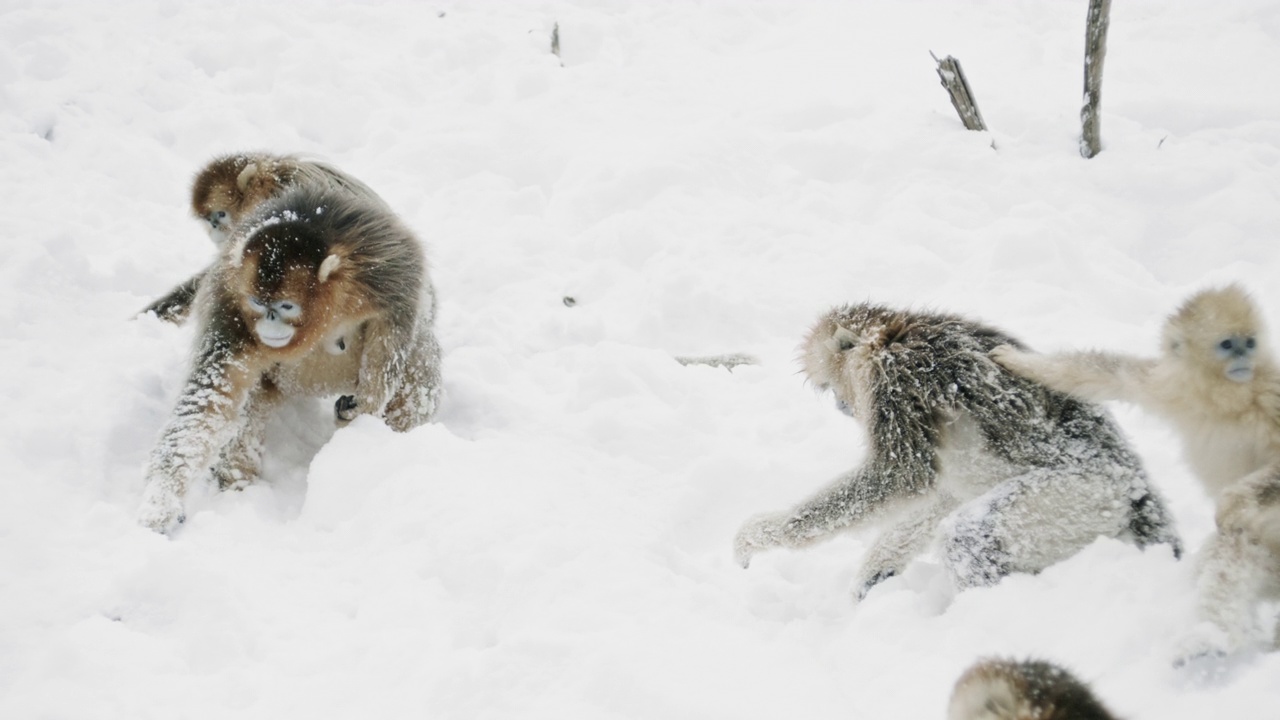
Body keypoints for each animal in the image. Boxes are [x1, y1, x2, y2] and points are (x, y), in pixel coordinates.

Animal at [137, 159, 442, 530]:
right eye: (258, 303)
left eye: (286, 307)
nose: (269, 323)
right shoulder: (232, 302)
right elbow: (207, 403)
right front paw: (161, 500)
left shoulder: (383, 266)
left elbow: (396, 328)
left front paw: (365, 407)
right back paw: (236, 482)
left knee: (418, 372)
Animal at [732, 299, 1177, 597]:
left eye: (829, 386)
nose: (842, 405)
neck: (889, 336)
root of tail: (1135, 486)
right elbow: (937, 492)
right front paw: (877, 570)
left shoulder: (897, 379)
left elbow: (901, 476)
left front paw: (762, 534)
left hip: (1085, 497)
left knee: (969, 538)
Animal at [988, 284, 1280, 655]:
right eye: (1228, 344)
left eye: (1250, 342)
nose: (1244, 357)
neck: (1227, 401)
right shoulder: (1167, 386)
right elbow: (1102, 373)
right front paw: (1017, 360)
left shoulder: (1273, 395)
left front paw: (1231, 502)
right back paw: (1209, 642)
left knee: (1236, 540)